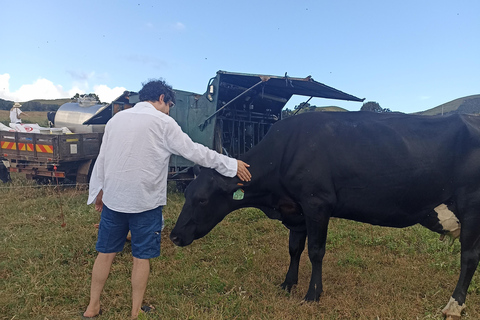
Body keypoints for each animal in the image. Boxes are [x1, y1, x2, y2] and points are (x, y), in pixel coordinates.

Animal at [170, 111, 480, 318]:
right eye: (187, 194)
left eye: (201, 199)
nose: (173, 236)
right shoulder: (295, 210)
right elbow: (294, 248)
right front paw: (287, 284)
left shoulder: (317, 203)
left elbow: (315, 251)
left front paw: (312, 294)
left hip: (471, 205)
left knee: (469, 257)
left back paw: (454, 305)